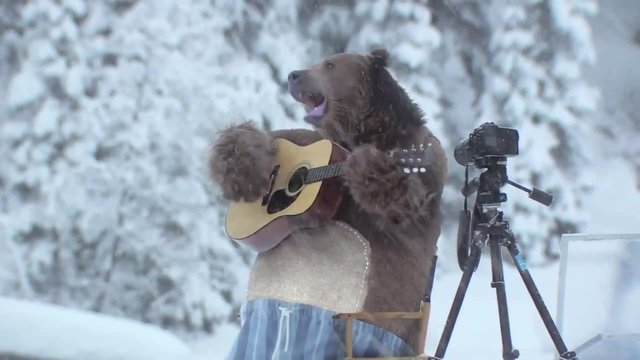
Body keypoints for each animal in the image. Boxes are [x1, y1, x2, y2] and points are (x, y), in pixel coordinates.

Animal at [209, 50, 444, 358]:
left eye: (330, 64)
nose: (293, 74)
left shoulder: (430, 168)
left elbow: (409, 208)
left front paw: (366, 166)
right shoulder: (303, 137)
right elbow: (250, 137)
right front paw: (249, 172)